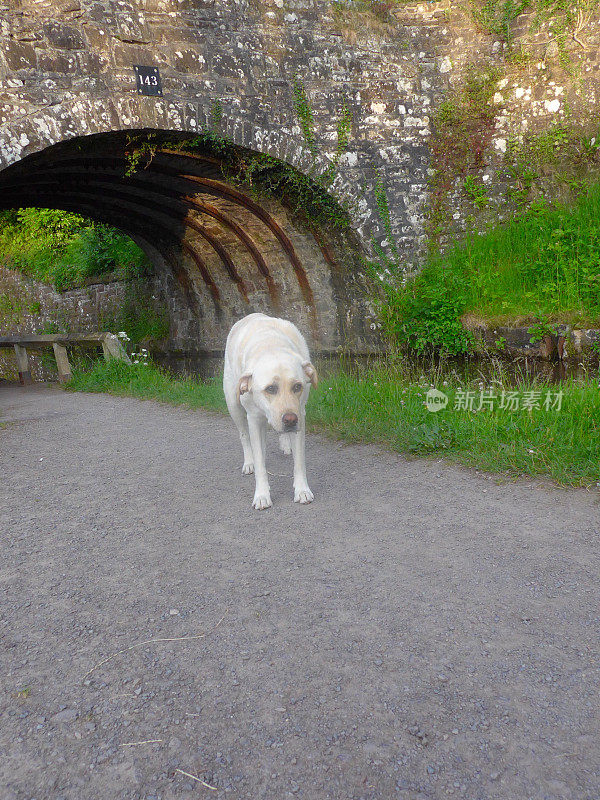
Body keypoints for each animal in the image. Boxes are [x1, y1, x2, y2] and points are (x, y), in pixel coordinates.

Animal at [224, 314, 318, 512]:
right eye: (270, 389)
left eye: (297, 386)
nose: (290, 420)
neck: (271, 345)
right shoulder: (253, 419)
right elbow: (260, 462)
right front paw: (262, 495)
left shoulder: (301, 415)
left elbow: (299, 462)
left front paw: (302, 491)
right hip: (233, 405)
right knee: (244, 436)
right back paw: (249, 462)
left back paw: (285, 444)